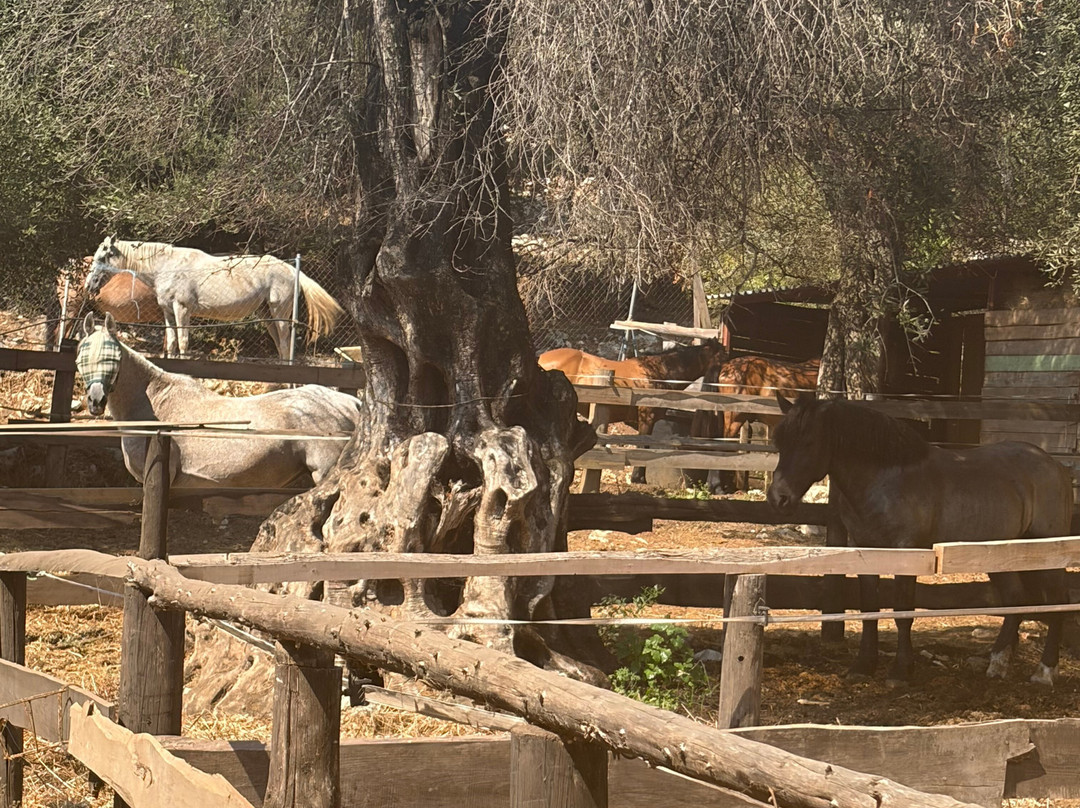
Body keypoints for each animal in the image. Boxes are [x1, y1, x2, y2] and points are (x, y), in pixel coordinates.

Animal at [75, 312, 363, 487]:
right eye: (81, 356)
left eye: (113, 357)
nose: (96, 400)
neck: (154, 405)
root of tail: (348, 403)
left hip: (325, 472)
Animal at [85, 236, 345, 359]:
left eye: (103, 256)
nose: (89, 284)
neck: (167, 266)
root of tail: (290, 268)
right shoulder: (168, 312)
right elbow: (171, 344)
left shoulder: (182, 310)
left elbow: (183, 343)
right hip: (267, 316)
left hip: (280, 315)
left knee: (284, 344)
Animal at [766, 392, 1072, 687]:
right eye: (779, 443)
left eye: (809, 442)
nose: (778, 498)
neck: (886, 479)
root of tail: (1054, 465)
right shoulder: (866, 551)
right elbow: (869, 609)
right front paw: (863, 666)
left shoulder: (908, 552)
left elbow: (903, 612)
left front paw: (900, 671)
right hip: (999, 554)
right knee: (1014, 599)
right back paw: (997, 664)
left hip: (1047, 553)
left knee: (1058, 601)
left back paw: (1044, 671)